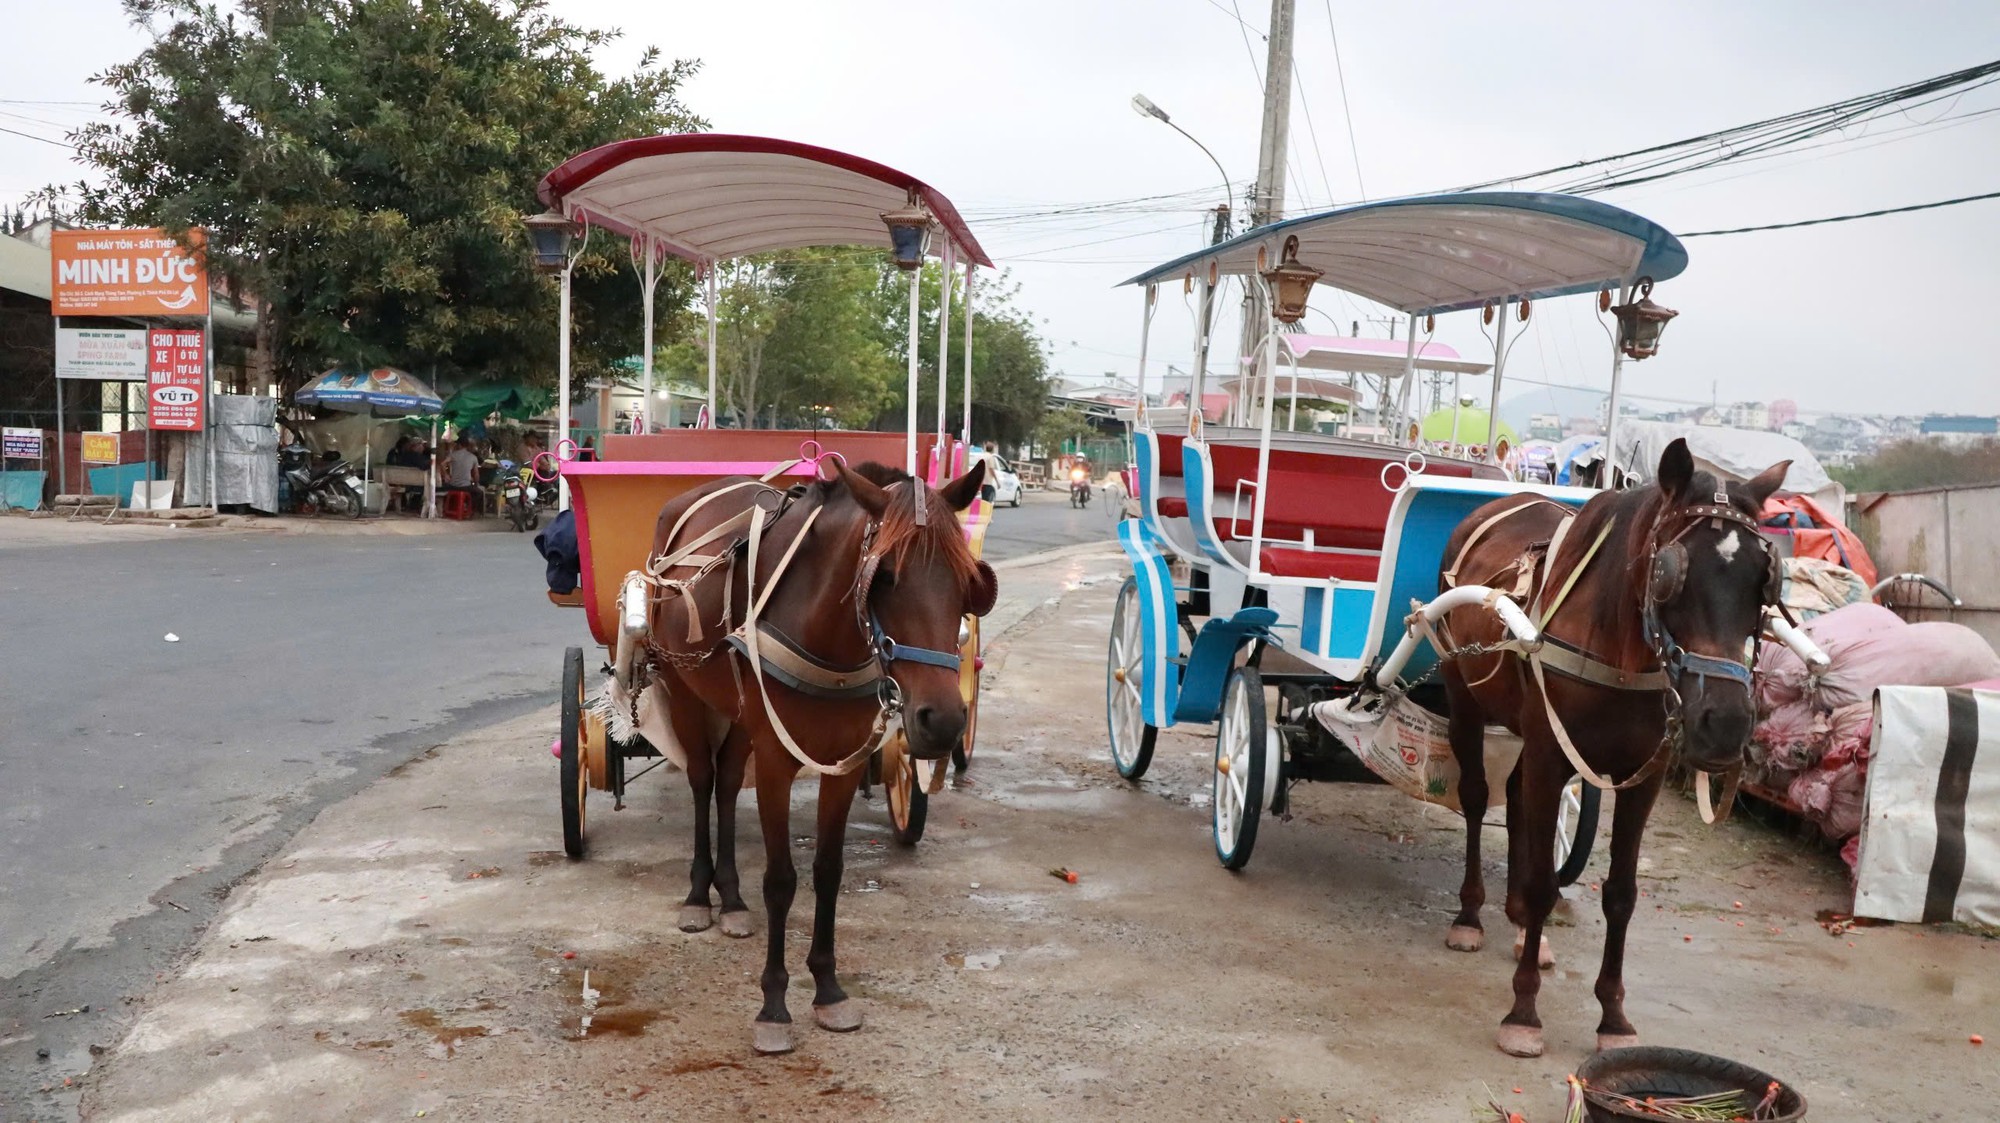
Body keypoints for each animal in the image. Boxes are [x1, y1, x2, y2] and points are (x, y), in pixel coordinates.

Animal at [640, 455, 992, 1047]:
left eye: (968, 582)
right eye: (885, 576)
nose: (943, 720)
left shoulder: (843, 761)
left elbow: (828, 871)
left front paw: (828, 989)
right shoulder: (776, 761)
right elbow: (782, 880)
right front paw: (773, 1005)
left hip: (741, 712)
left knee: (728, 782)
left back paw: (731, 899)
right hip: (682, 684)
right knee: (703, 780)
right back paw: (699, 896)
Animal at [1432, 439, 1792, 1055]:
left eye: (1763, 581)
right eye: (1671, 574)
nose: (1724, 724)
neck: (1620, 651)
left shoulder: (1642, 776)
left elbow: (1620, 893)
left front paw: (1613, 1017)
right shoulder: (1552, 755)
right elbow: (1543, 881)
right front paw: (1523, 1011)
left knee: (1516, 798)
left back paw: (1522, 925)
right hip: (1466, 701)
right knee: (1478, 797)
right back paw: (1473, 914)